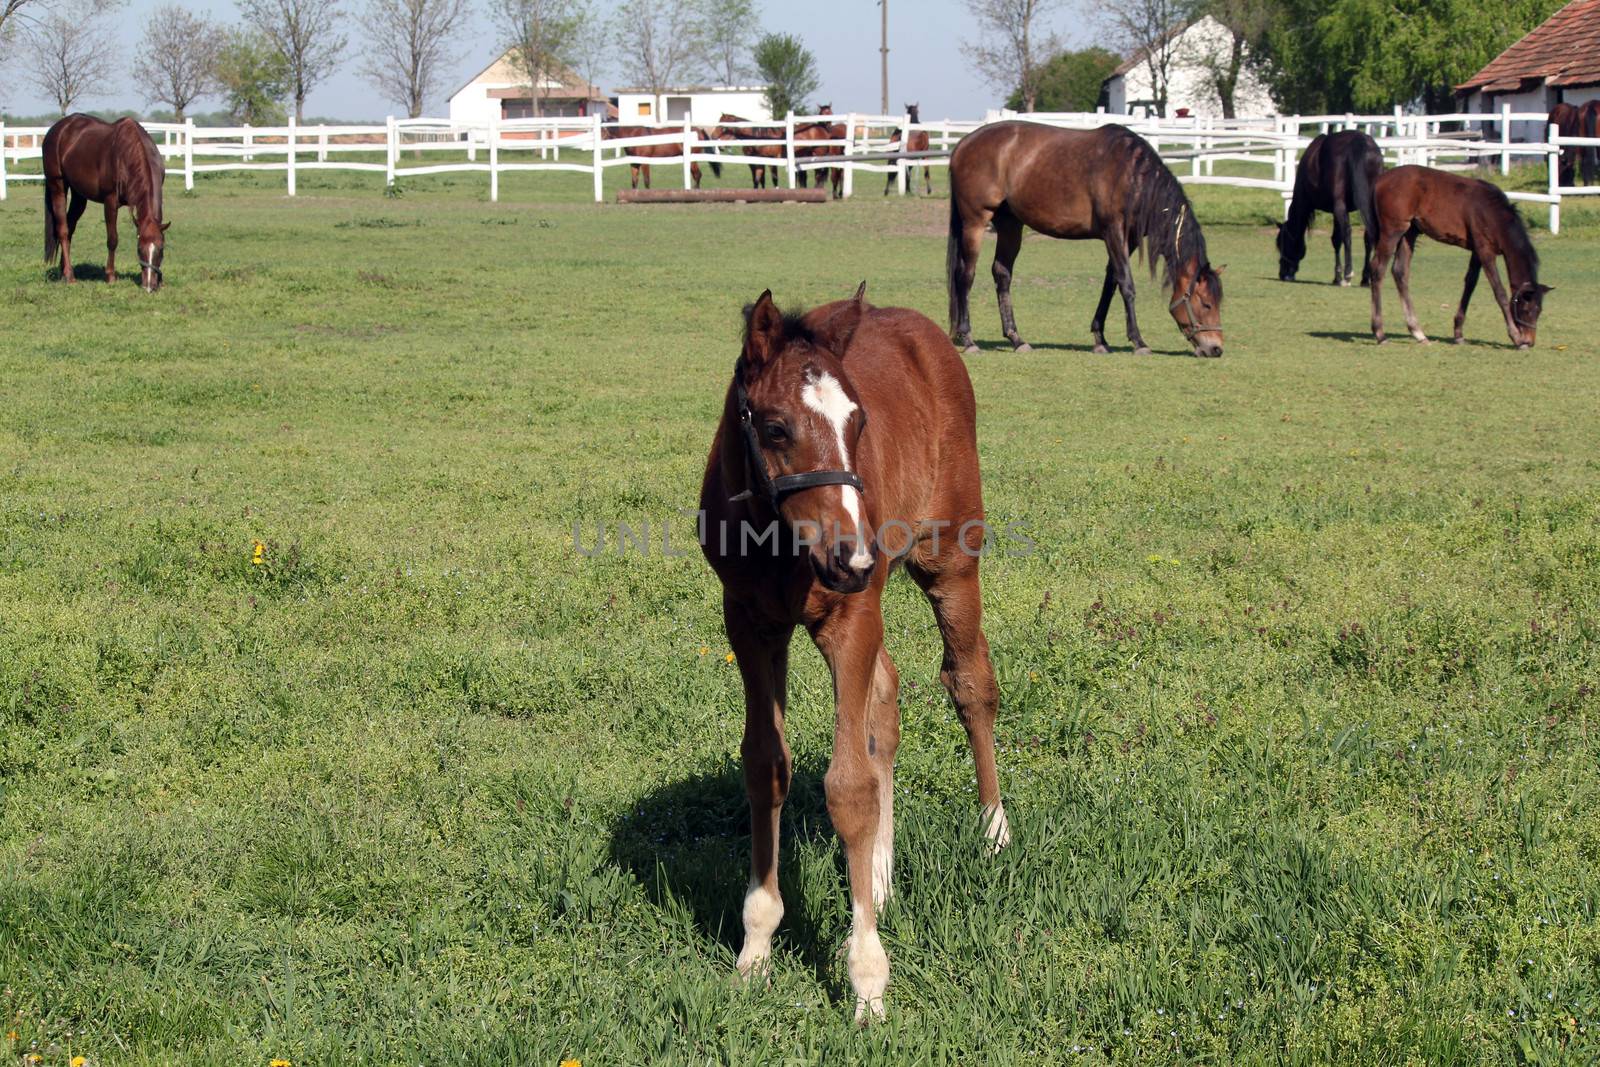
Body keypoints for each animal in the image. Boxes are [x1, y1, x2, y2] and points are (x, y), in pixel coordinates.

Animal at [43, 113, 169, 292]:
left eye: (161, 248)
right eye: (139, 249)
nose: (149, 287)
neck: (129, 152)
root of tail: (57, 129)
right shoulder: (110, 202)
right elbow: (112, 240)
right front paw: (110, 276)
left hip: (79, 195)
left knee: (70, 226)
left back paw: (63, 271)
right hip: (57, 185)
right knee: (63, 230)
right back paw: (70, 276)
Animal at [697, 281, 1004, 1017]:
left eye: (859, 422)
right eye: (775, 427)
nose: (854, 556)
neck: (781, 544)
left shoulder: (853, 614)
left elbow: (850, 785)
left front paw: (867, 977)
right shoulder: (748, 621)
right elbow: (766, 766)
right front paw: (756, 947)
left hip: (949, 559)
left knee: (970, 679)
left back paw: (993, 831)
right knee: (886, 700)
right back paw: (882, 874)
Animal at [947, 119, 1222, 356]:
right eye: (1206, 303)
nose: (1216, 348)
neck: (1133, 176)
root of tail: (963, 144)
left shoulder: (1129, 238)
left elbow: (1111, 283)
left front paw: (1100, 339)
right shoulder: (1114, 231)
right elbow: (1126, 284)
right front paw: (1138, 341)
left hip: (1010, 225)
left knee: (1002, 273)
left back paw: (1016, 339)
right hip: (975, 223)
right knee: (965, 275)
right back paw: (968, 339)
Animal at [1267, 128, 1382, 286]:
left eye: (1283, 244)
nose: (1283, 274)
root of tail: (1360, 142)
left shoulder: (1336, 208)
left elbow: (1336, 239)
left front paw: (1338, 276)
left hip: (1340, 206)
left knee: (1347, 234)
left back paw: (1348, 274)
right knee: (1369, 235)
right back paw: (1366, 278)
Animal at [1363, 163, 1548, 347]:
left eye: (1539, 310)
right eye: (1526, 310)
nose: (1530, 341)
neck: (1492, 213)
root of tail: (1381, 179)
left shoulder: (1477, 252)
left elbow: (1470, 284)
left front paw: (1458, 333)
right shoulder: (1486, 252)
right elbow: (1499, 291)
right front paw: (1515, 336)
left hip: (1409, 233)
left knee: (1400, 272)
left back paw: (1418, 333)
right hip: (1393, 231)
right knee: (1378, 269)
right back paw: (1380, 334)